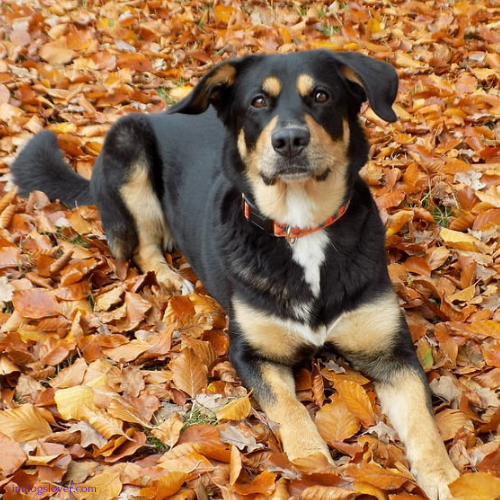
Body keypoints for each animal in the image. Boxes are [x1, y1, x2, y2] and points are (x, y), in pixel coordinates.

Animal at [10, 48, 458, 498]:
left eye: (321, 95)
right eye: (258, 101)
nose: (289, 140)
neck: (301, 226)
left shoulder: (391, 353)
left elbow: (423, 423)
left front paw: (449, 478)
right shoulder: (251, 353)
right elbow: (290, 409)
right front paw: (312, 465)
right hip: (128, 149)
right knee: (141, 247)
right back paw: (168, 277)